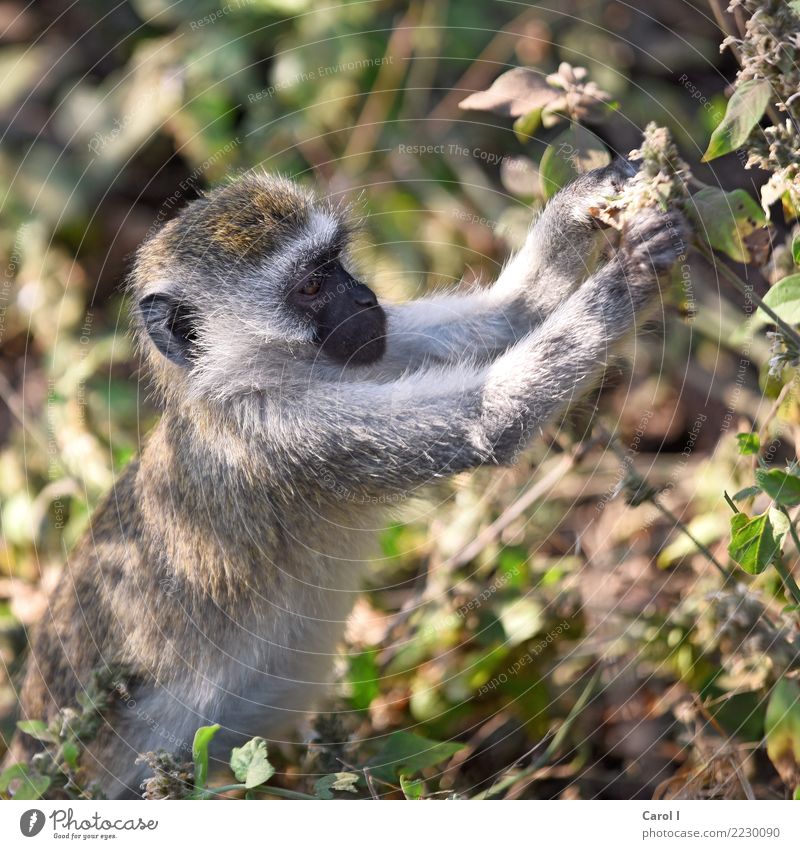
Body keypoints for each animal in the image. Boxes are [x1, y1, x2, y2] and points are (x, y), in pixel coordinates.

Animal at [9, 162, 688, 800]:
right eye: (310, 286)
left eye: (335, 262)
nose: (365, 299)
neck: (253, 376)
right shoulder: (287, 432)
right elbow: (491, 418)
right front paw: (627, 277)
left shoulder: (364, 350)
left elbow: (506, 316)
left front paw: (587, 200)